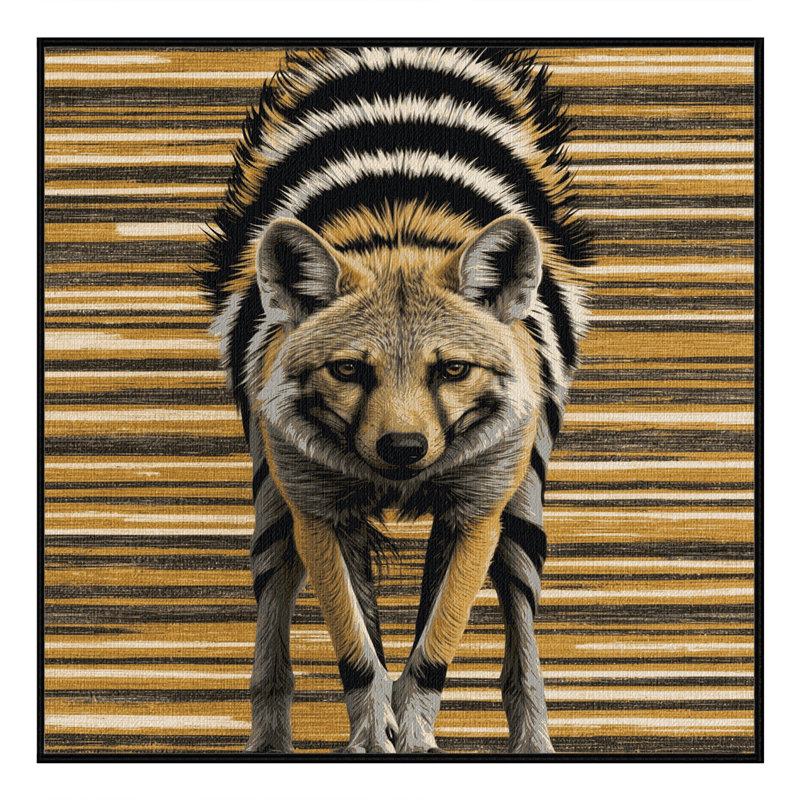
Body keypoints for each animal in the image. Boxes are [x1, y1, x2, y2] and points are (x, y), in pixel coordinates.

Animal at [200, 47, 591, 754]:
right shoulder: (319, 515)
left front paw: (412, 736)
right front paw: (373, 737)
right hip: (273, 508)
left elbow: (433, 648)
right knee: (275, 623)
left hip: (522, 516)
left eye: (453, 370)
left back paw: (532, 742)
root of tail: (397, 55)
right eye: (350, 370)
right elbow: (359, 652)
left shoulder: (476, 516)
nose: (403, 448)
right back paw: (270, 743)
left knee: (519, 634)